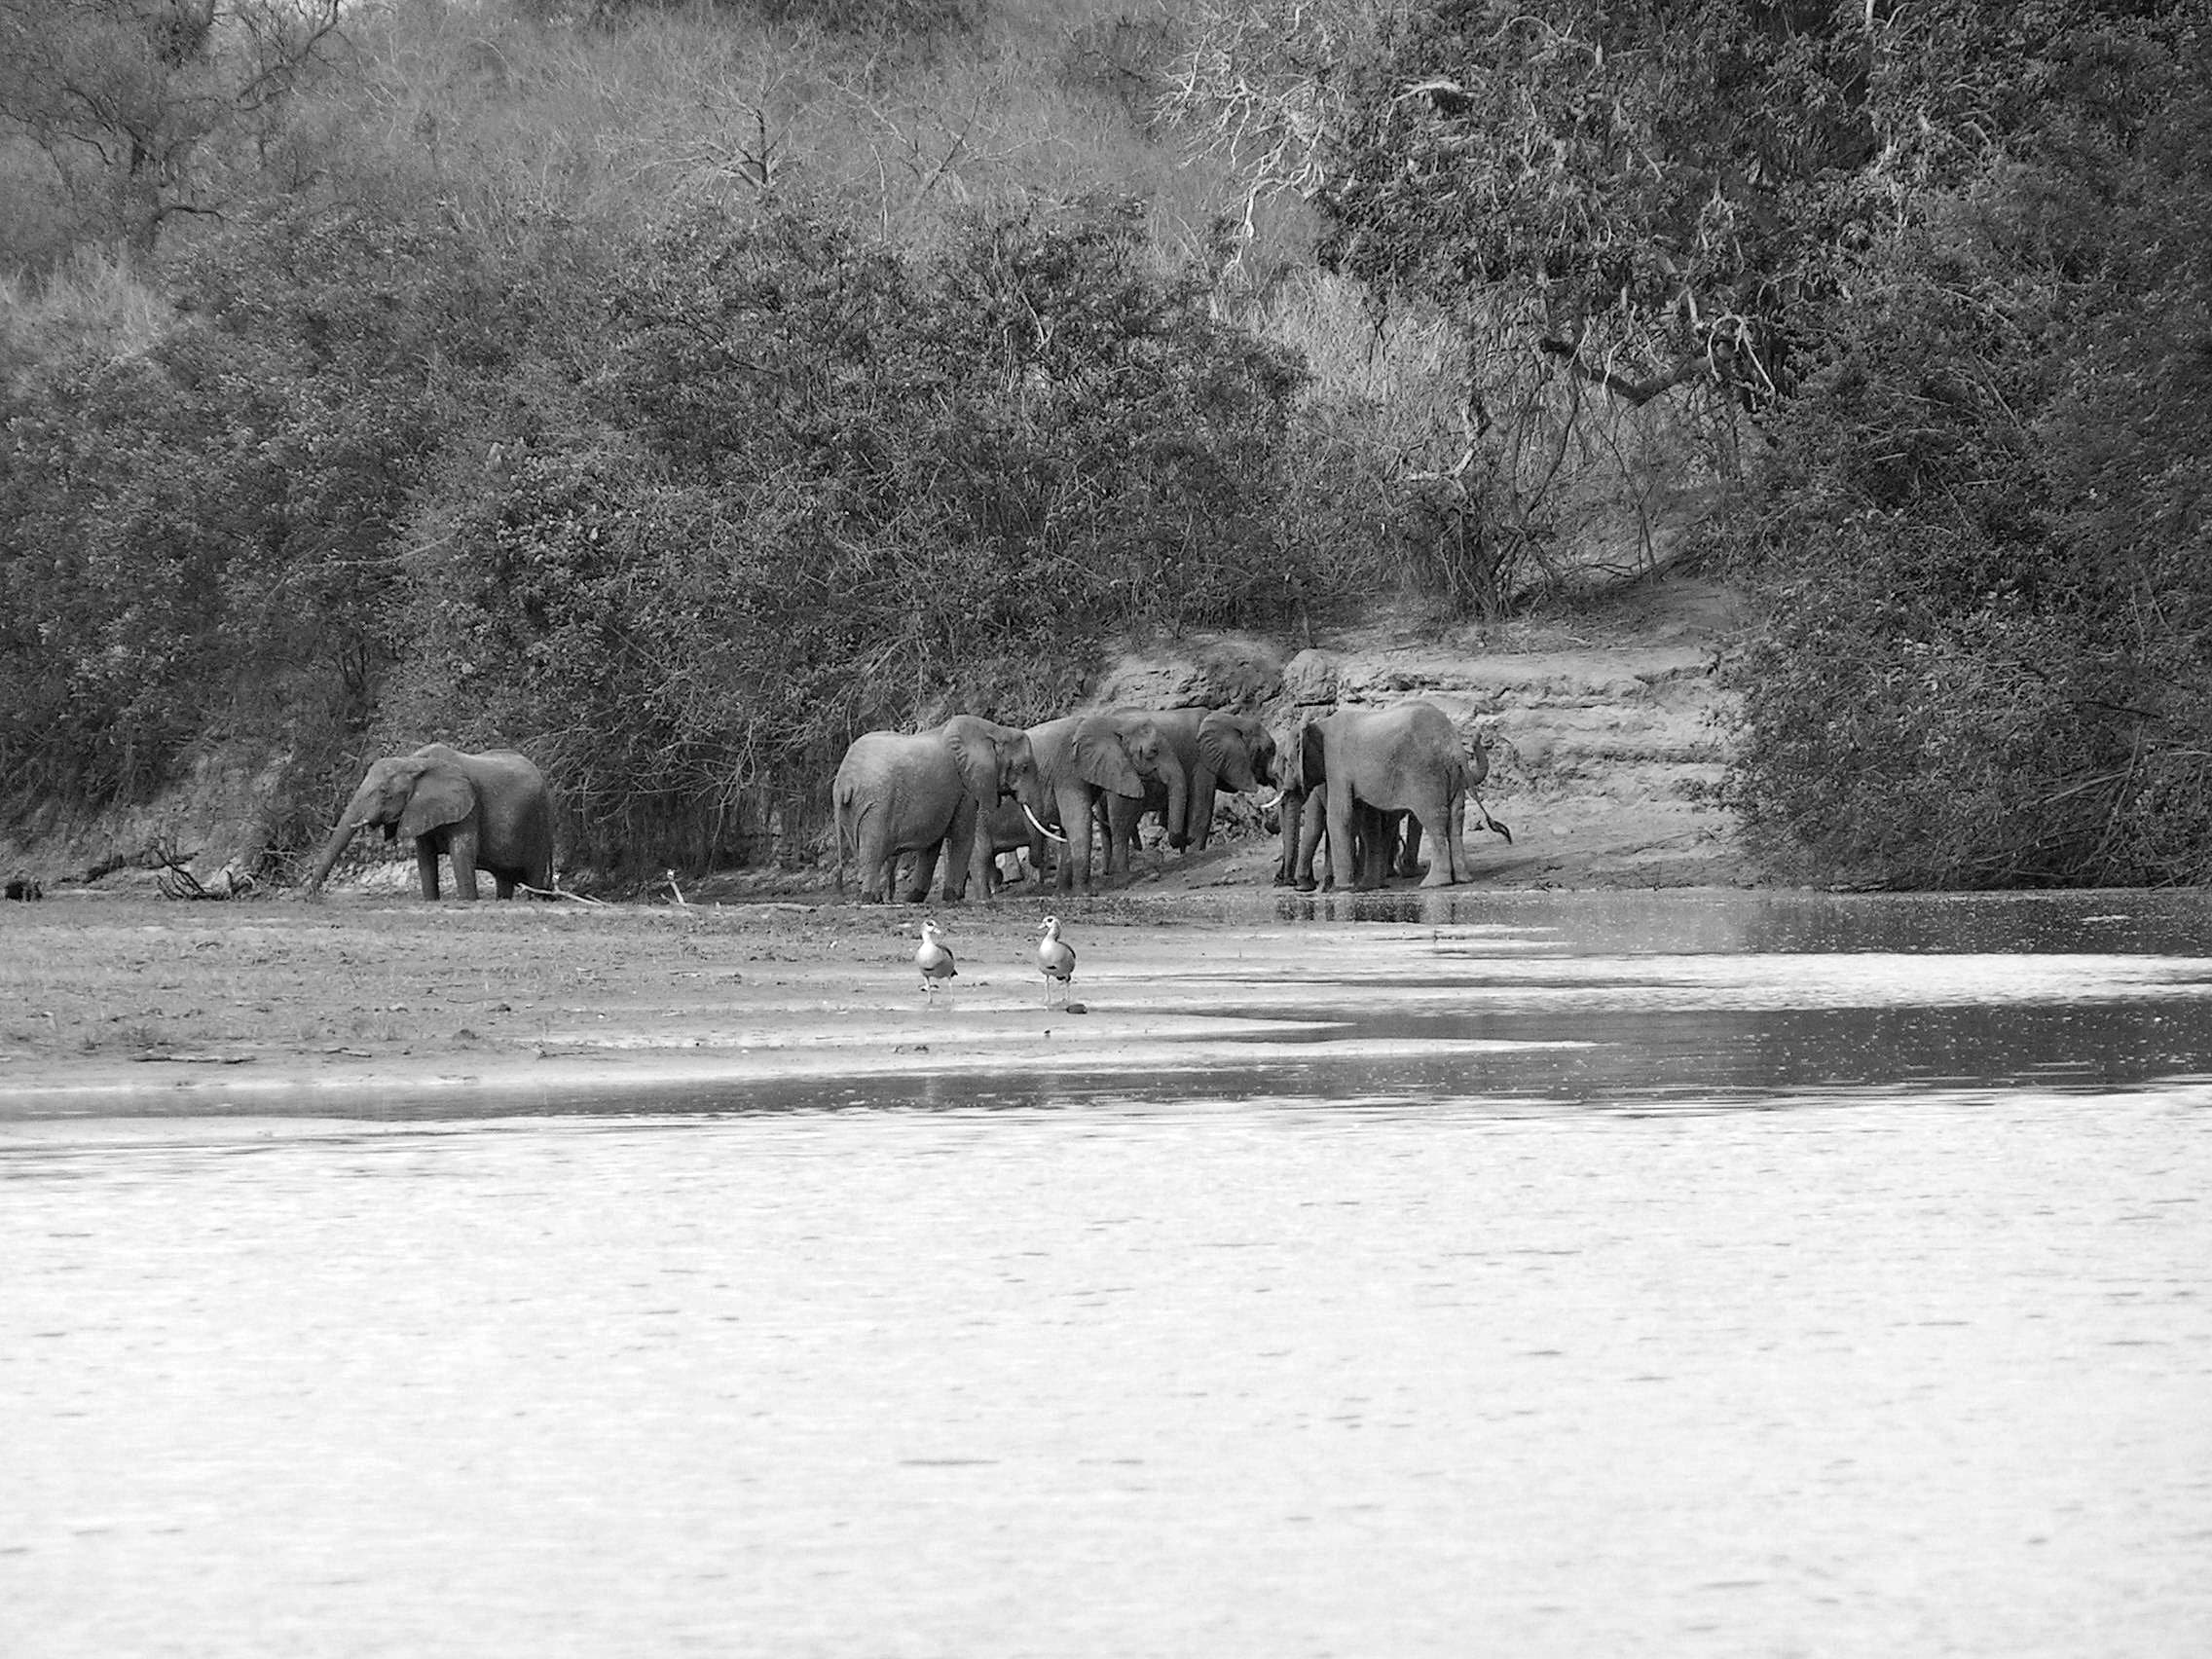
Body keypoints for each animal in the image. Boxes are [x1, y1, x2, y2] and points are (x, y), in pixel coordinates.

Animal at [305, 747, 553, 902]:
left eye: (384, 793)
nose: (314, 896)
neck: (414, 761)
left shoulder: (469, 806)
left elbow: (462, 851)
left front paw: (467, 901)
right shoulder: (420, 809)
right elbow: (425, 856)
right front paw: (431, 900)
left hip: (540, 820)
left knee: (534, 873)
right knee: (504, 878)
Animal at [831, 712, 1052, 902]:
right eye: (1024, 767)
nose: (1000, 877)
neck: (995, 731)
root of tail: (844, 781)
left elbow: (933, 844)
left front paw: (914, 898)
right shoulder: (964, 788)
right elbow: (963, 835)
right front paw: (953, 898)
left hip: (852, 811)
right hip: (877, 805)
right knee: (873, 852)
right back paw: (870, 899)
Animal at [1026, 717, 1185, 898]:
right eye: (1154, 751)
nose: (1173, 842)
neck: (1111, 723)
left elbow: (1071, 828)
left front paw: (1064, 895)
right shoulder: (1068, 771)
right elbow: (1078, 821)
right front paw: (1086, 893)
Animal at [1273, 703, 1513, 898]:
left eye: (1285, 764)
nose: (1284, 882)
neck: (1317, 723)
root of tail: (1455, 747)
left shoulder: (1336, 765)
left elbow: (1340, 817)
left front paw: (1341, 890)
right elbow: (1367, 820)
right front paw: (1363, 887)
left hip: (1424, 773)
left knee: (1433, 817)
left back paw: (1434, 883)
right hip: (1452, 774)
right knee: (1456, 817)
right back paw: (1462, 879)